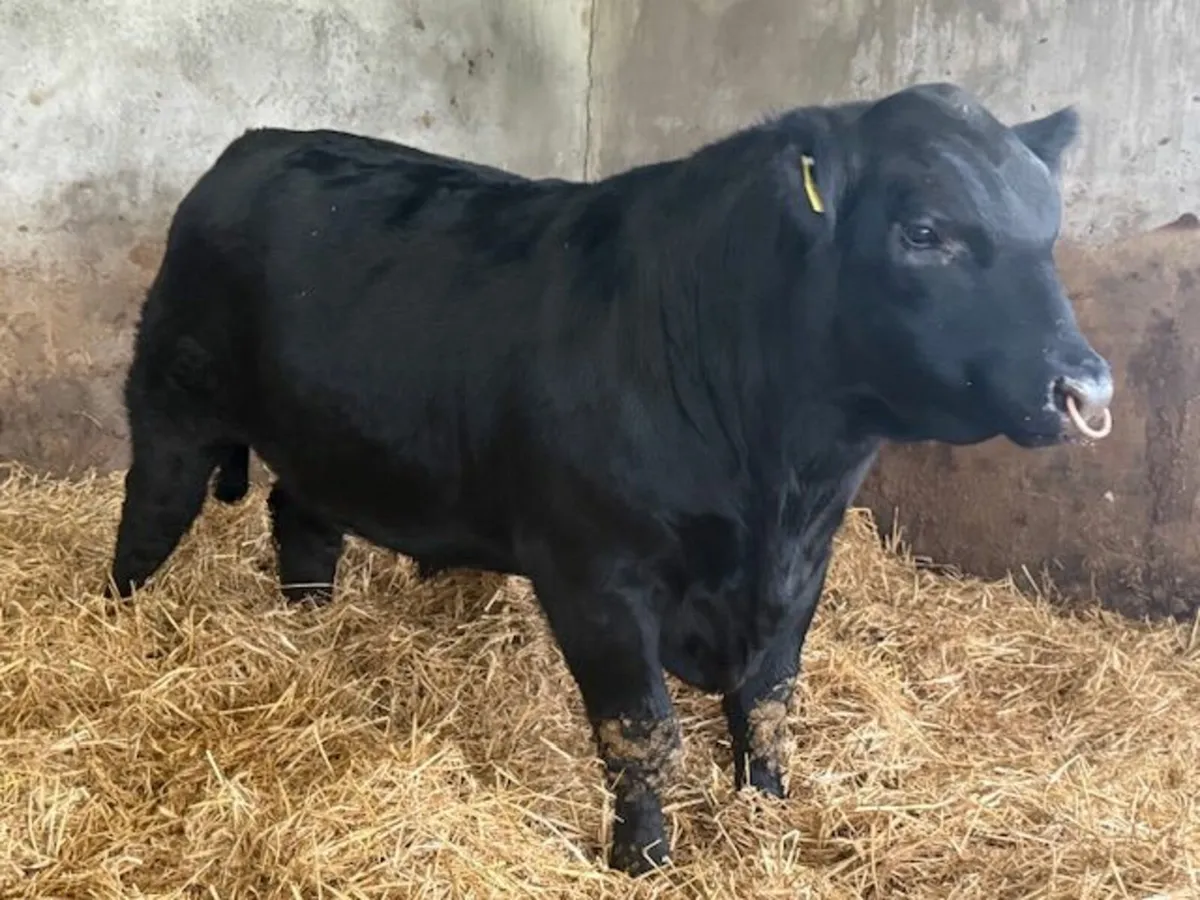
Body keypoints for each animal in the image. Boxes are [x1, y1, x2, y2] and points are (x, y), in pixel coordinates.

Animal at [107, 82, 1113, 875]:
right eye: (924, 231)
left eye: (1050, 233)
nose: (1086, 387)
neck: (779, 475)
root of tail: (257, 143)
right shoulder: (594, 573)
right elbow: (643, 734)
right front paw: (645, 860)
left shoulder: (803, 569)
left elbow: (770, 706)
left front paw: (766, 820)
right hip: (172, 404)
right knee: (146, 523)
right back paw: (124, 624)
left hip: (326, 438)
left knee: (302, 520)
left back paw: (311, 631)